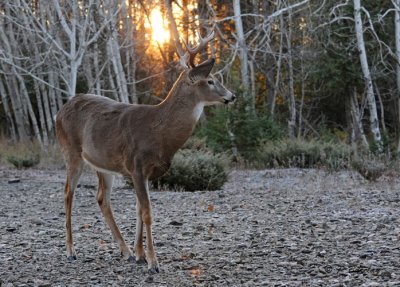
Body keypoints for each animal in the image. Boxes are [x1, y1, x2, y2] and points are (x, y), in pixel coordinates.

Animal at [54, 30, 234, 274]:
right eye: (210, 80)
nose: (232, 96)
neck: (159, 132)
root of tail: (60, 111)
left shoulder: (143, 172)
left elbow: (139, 210)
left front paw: (139, 254)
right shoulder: (136, 166)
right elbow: (147, 213)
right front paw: (153, 262)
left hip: (103, 164)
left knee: (102, 198)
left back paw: (125, 252)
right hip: (71, 151)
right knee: (67, 193)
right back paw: (71, 251)